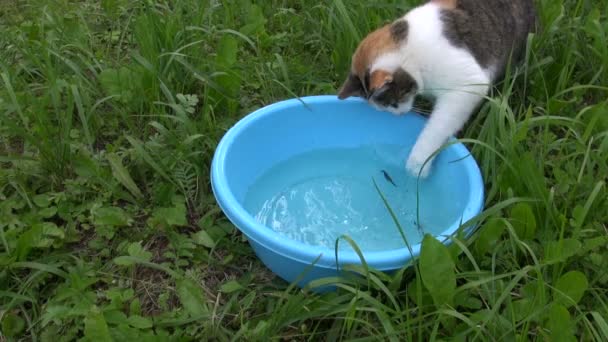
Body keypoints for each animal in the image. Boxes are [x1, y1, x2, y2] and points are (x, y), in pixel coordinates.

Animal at [338, 0, 536, 176]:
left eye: (393, 103)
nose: (400, 114)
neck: (411, 51)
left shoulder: (470, 84)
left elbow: (438, 125)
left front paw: (417, 165)